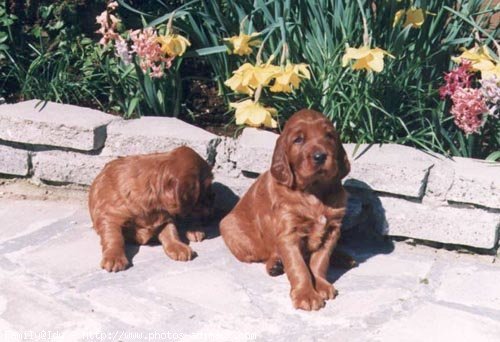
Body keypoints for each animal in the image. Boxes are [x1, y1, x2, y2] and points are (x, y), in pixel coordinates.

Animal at [221, 109, 350, 310]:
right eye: (298, 140)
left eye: (329, 136)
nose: (320, 156)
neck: (314, 190)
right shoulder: (289, 232)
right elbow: (298, 267)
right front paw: (306, 295)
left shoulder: (332, 230)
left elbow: (320, 262)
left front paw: (321, 284)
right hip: (234, 232)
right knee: (266, 254)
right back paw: (275, 265)